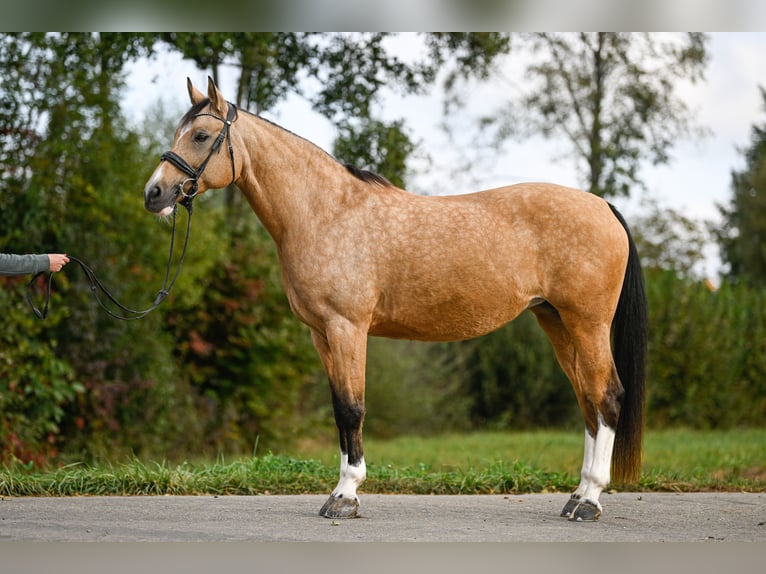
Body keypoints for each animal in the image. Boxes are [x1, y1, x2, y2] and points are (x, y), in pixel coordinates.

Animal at [142, 79, 648, 524]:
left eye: (201, 135)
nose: (154, 193)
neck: (326, 212)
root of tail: (602, 206)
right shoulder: (321, 333)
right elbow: (339, 408)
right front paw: (338, 491)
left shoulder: (347, 327)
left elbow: (353, 408)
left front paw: (345, 496)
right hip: (556, 321)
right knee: (588, 400)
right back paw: (576, 496)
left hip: (587, 324)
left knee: (607, 398)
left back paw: (590, 501)